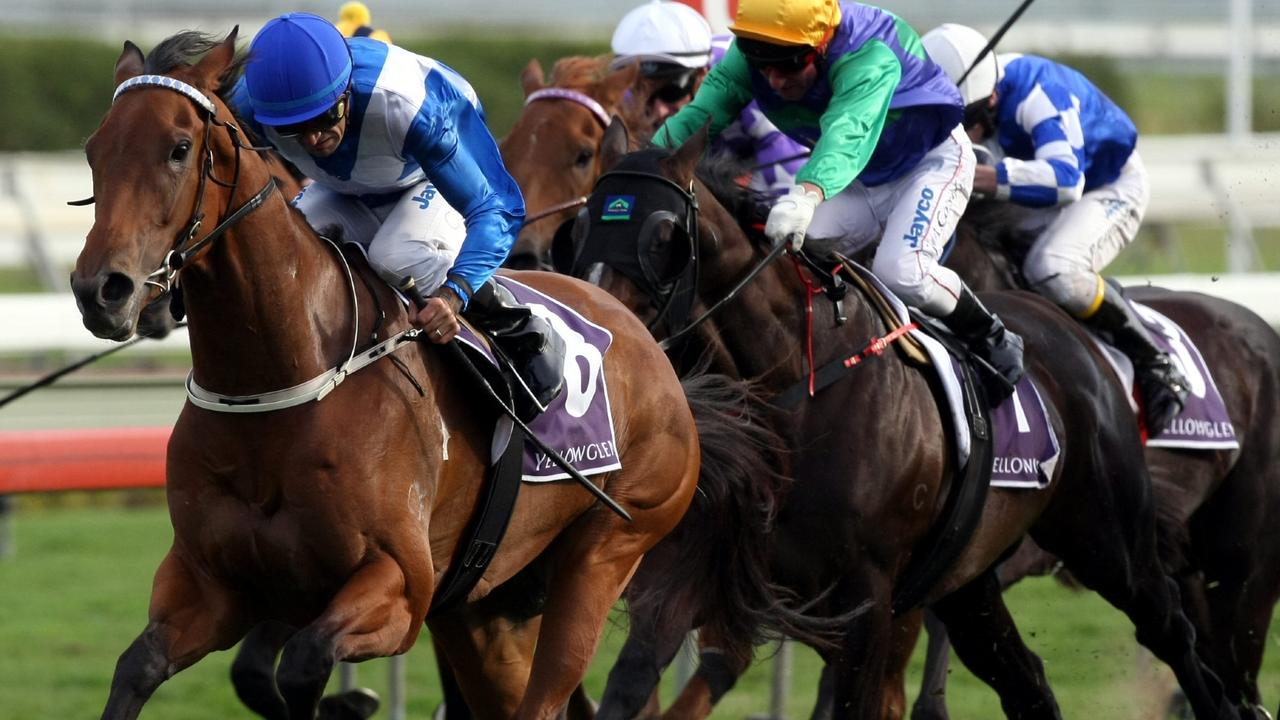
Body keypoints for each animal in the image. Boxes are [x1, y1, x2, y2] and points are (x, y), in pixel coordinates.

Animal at [73, 29, 706, 717]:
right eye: (94, 151)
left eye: (179, 149)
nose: (101, 290)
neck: (274, 386)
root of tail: (647, 339)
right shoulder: (208, 584)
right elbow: (138, 667)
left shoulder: (399, 584)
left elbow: (304, 663)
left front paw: (349, 702)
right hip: (484, 608)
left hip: (606, 550)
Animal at [558, 120, 1239, 712]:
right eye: (582, 222)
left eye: (663, 235)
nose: (604, 335)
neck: (795, 390)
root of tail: (1072, 336)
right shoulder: (693, 573)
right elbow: (628, 682)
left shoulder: (864, 603)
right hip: (967, 579)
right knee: (1027, 682)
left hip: (1107, 539)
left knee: (1172, 631)